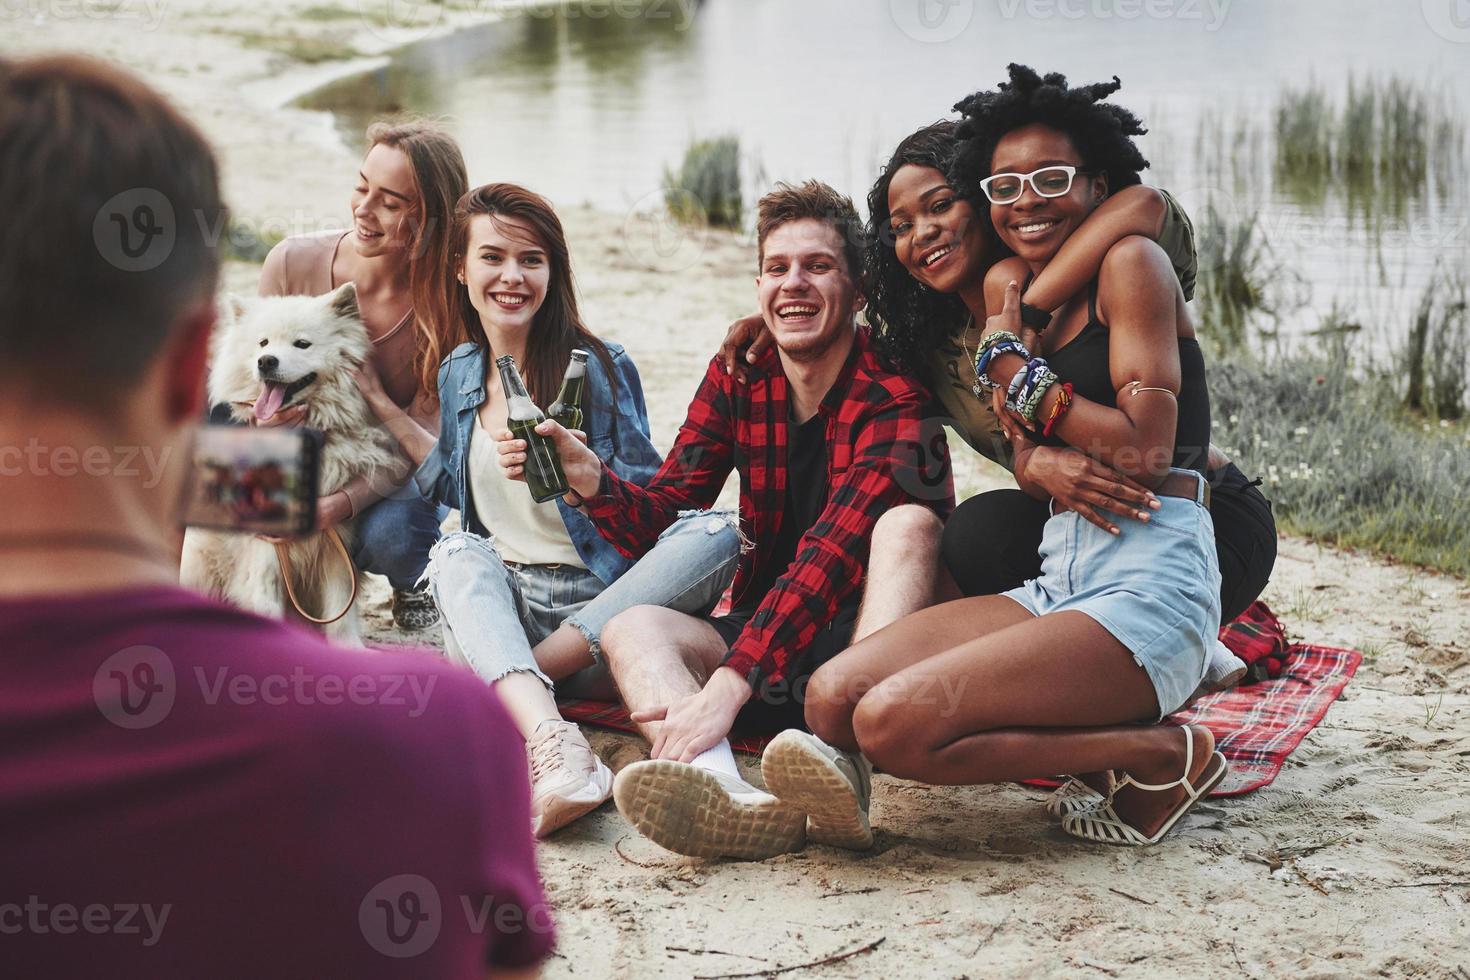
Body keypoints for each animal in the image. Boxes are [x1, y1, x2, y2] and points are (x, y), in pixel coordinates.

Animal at [180, 282, 405, 643]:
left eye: (302, 343)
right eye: (263, 343)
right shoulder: (264, 544)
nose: (265, 361)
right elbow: (265, 598)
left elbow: (340, 612)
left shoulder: (336, 543)